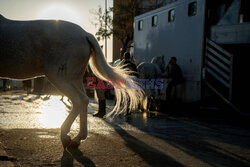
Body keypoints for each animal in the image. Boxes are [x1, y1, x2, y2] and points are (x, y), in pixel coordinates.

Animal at [0, 15, 145, 149]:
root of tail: (85, 34)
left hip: (58, 76)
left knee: (78, 100)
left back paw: (66, 136)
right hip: (74, 79)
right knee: (84, 100)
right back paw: (78, 138)